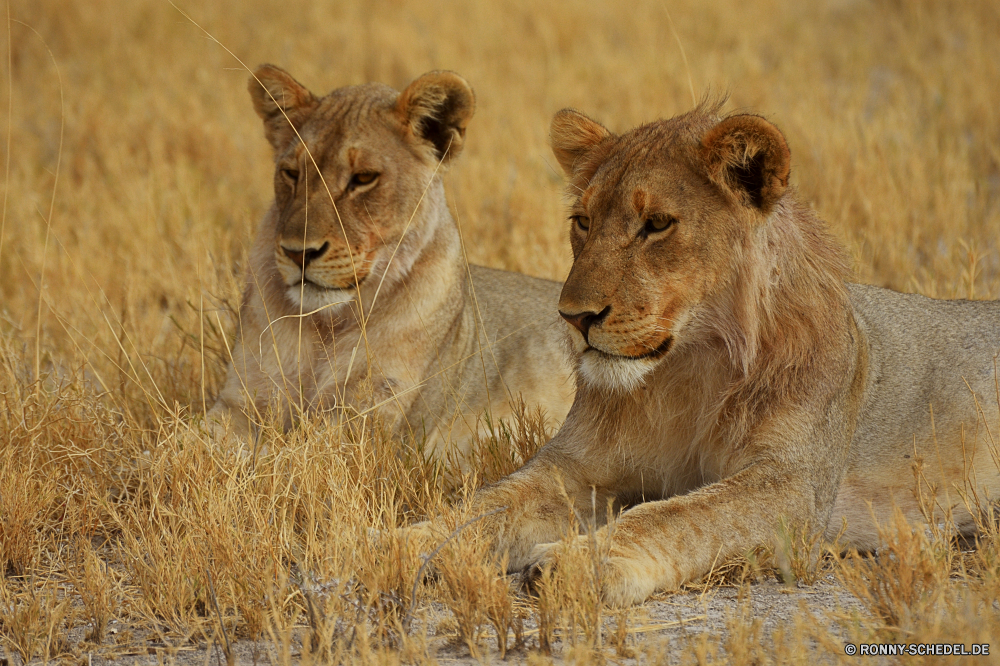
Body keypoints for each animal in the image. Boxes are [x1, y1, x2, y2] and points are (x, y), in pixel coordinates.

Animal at [207, 67, 576, 456]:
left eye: (363, 179)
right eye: (292, 173)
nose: (298, 253)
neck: (326, 327)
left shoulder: (366, 424)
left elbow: (289, 453)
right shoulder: (241, 402)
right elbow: (195, 442)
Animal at [408, 101, 1000, 604]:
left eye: (656, 225)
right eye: (583, 222)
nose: (574, 317)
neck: (689, 369)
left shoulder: (791, 491)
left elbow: (675, 516)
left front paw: (575, 564)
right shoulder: (576, 466)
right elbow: (486, 504)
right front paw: (404, 542)